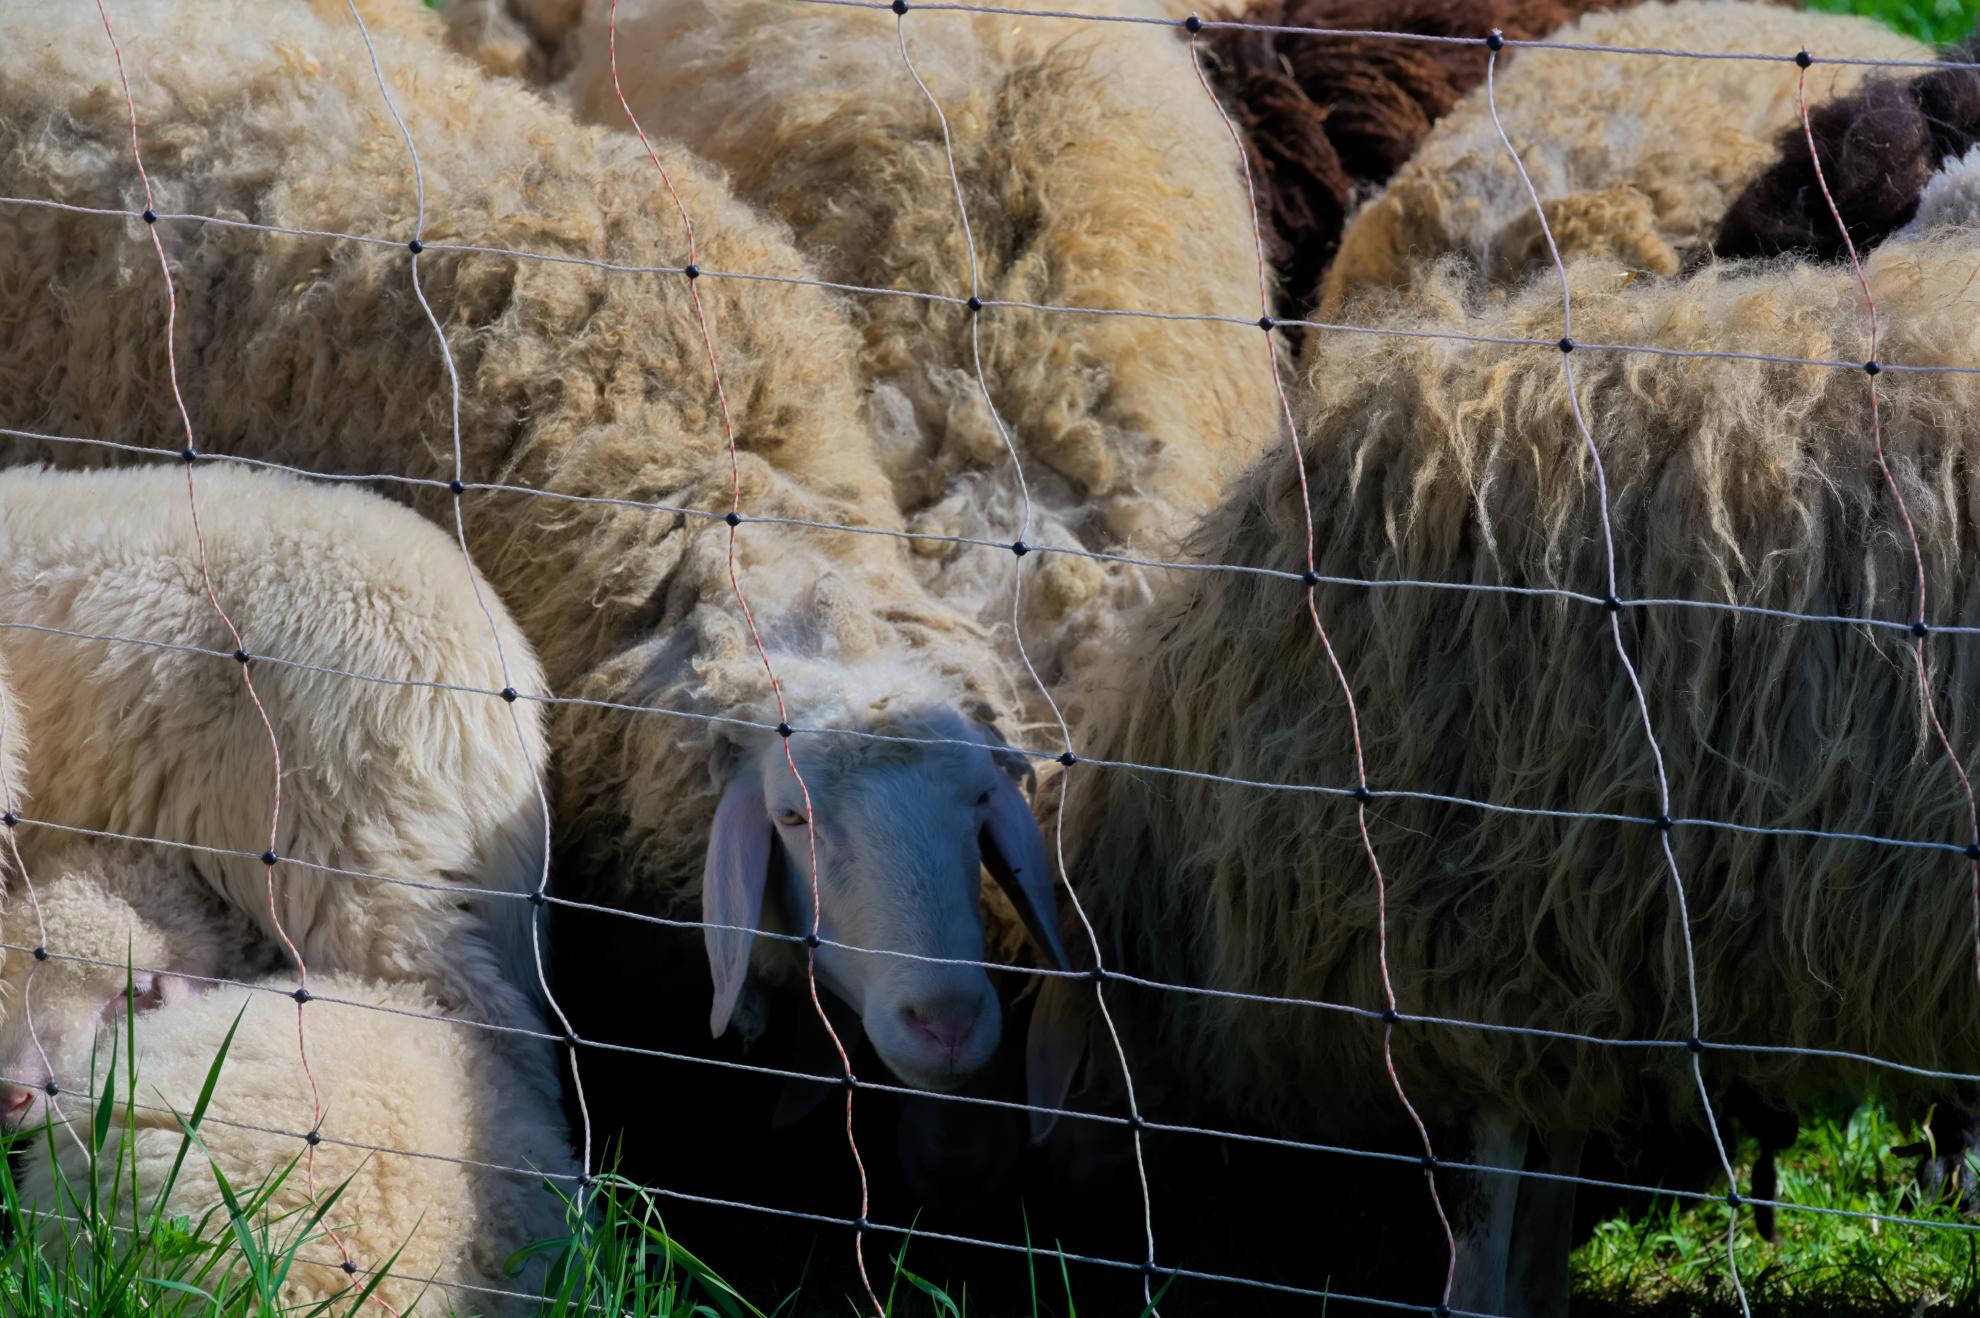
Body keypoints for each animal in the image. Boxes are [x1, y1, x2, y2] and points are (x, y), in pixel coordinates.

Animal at [1024, 226, 1980, 1315]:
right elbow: (1548, 1187)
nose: (1040, 1209)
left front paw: (1483, 1297)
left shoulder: (1472, 943)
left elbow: (1489, 1205)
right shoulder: (1580, 946)